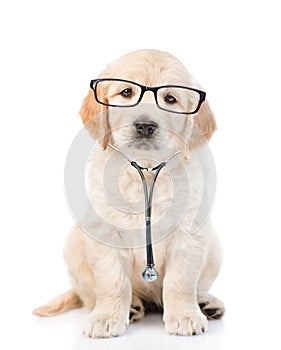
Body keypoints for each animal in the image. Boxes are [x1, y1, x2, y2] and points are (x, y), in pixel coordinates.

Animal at [33, 48, 223, 336]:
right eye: (126, 93)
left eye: (170, 99)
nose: (145, 125)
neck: (146, 169)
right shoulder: (105, 233)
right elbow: (113, 281)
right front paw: (106, 317)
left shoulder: (189, 234)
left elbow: (181, 280)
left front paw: (185, 315)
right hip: (74, 245)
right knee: (87, 295)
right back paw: (131, 306)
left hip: (214, 248)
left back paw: (206, 303)